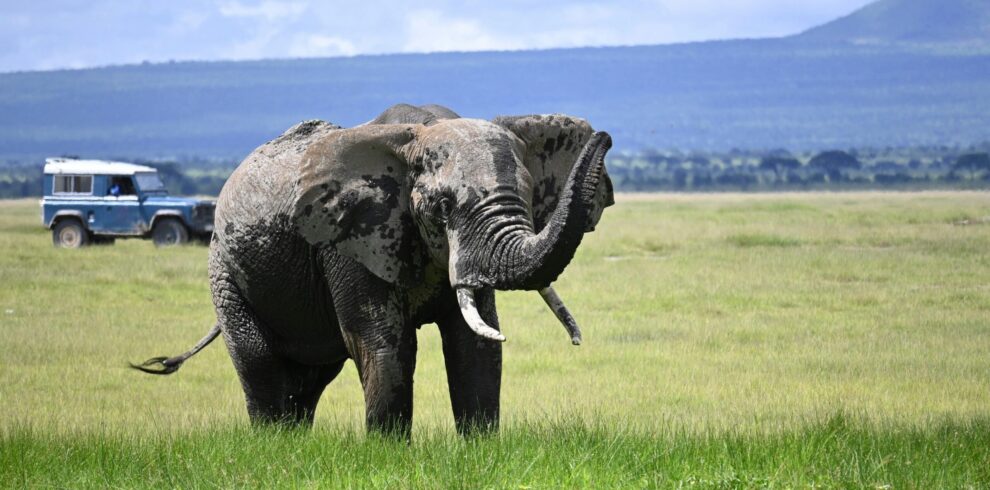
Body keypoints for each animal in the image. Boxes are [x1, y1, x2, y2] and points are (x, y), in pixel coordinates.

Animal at [133, 104, 614, 437]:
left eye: (531, 196)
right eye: (443, 206)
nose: (606, 136)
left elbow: (474, 342)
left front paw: (480, 450)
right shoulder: (347, 240)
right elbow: (383, 340)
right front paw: (388, 452)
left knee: (309, 377)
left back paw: (293, 445)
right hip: (224, 270)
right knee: (259, 361)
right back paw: (272, 445)